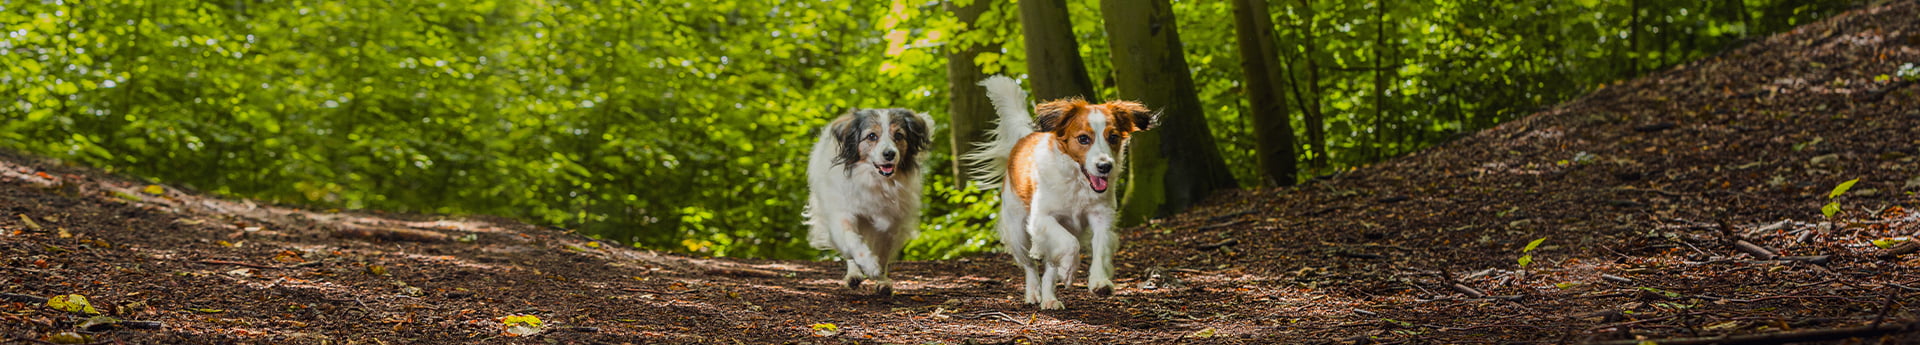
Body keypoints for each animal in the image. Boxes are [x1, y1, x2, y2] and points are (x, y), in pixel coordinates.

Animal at [806, 108, 933, 297]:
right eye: (872, 136)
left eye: (899, 135)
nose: (889, 154)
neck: (874, 181)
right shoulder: (842, 212)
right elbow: (851, 239)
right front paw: (869, 265)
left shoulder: (891, 224)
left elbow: (883, 255)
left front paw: (882, 280)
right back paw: (854, 274)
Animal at [960, 74, 1152, 306]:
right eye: (1083, 138)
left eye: (1113, 137)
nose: (1105, 166)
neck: (1077, 183)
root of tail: (1023, 139)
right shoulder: (1042, 218)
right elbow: (1070, 245)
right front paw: (1068, 271)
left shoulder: (1101, 217)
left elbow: (1100, 247)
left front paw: (1099, 281)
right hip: (1017, 232)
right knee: (1030, 265)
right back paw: (1034, 293)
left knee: (1049, 266)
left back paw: (1049, 298)